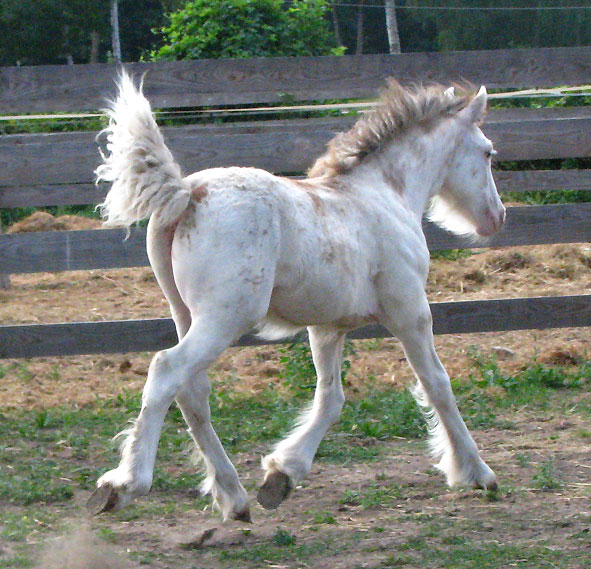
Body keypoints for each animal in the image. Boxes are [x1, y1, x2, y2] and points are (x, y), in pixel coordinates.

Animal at [86, 71, 504, 520]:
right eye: (487, 153)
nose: (497, 218)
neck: (385, 193)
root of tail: (186, 193)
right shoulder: (410, 311)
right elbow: (437, 384)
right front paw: (477, 472)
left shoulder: (327, 328)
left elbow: (331, 398)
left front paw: (281, 475)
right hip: (226, 318)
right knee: (166, 372)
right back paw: (124, 484)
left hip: (185, 314)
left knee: (193, 393)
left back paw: (234, 497)